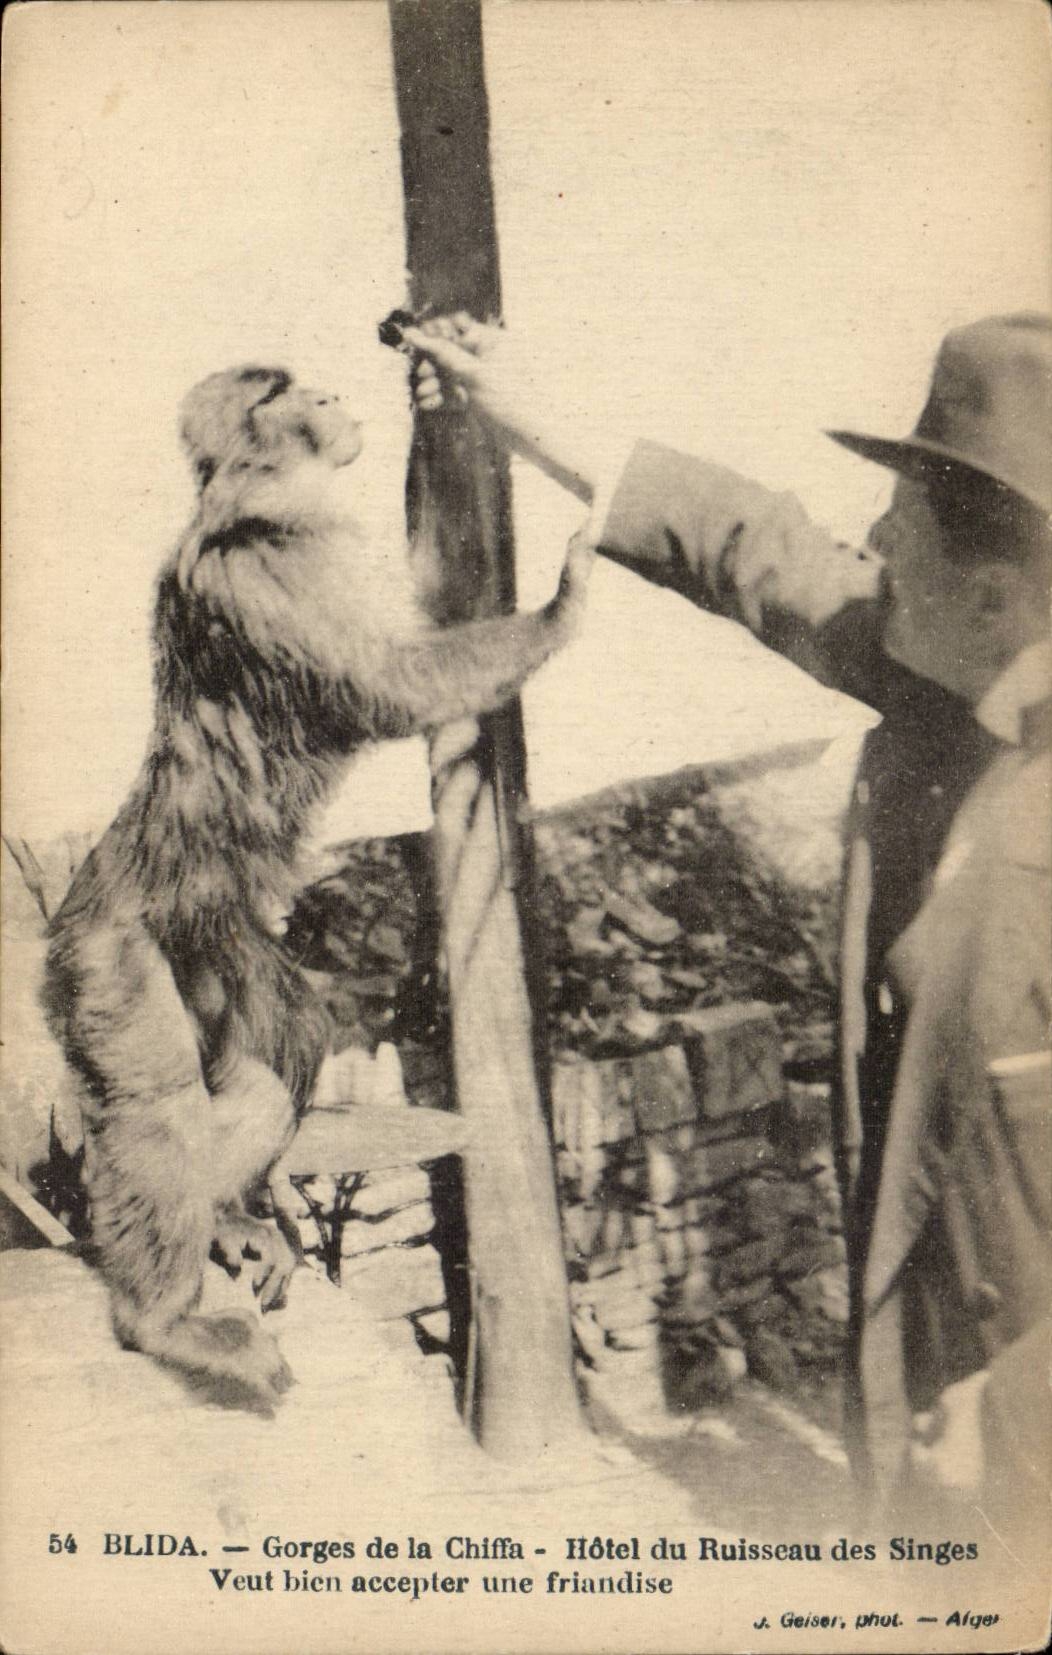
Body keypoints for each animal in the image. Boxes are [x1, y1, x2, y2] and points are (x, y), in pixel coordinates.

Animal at [42, 363, 592, 1412]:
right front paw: (562, 605)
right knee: (159, 1101)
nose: (336, 400)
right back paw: (162, 1316)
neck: (264, 495)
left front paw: (440, 389)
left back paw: (227, 1215)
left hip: (212, 938)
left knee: (280, 1040)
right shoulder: (265, 569)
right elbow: (390, 681)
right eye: (292, 393)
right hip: (110, 948)